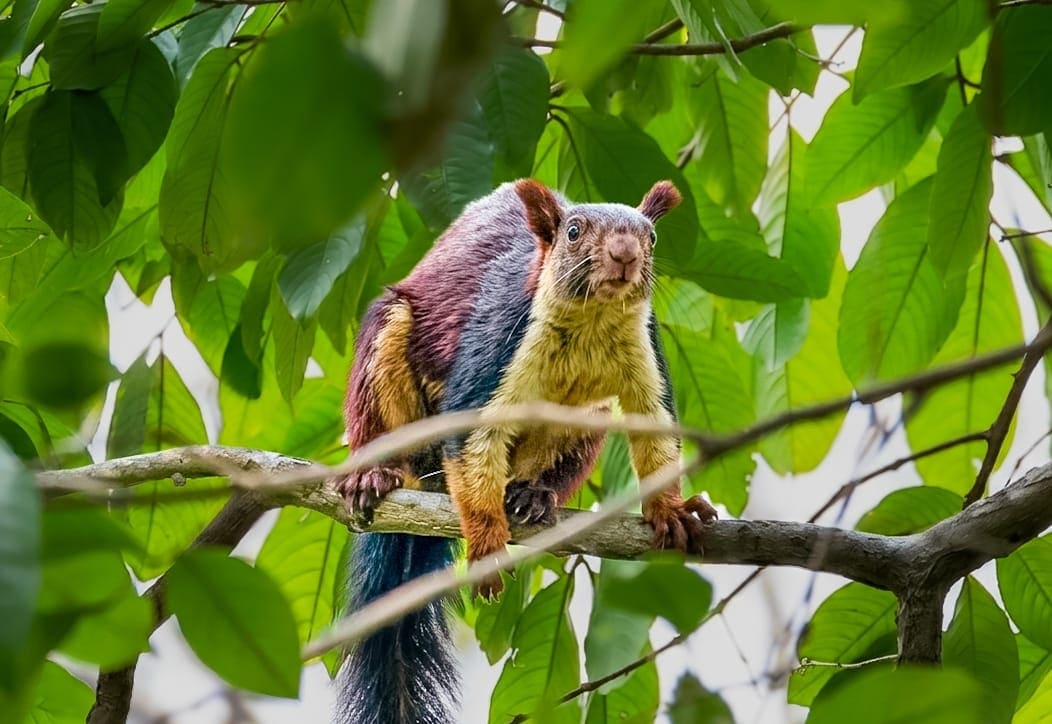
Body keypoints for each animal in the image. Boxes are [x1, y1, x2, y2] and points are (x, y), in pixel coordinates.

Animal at [333, 179, 717, 724]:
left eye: (652, 236)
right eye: (574, 232)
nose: (625, 254)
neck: (593, 321)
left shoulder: (647, 354)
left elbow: (657, 435)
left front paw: (671, 510)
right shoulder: (497, 341)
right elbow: (472, 442)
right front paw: (488, 543)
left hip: (587, 420)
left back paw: (533, 494)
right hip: (387, 348)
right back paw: (374, 474)